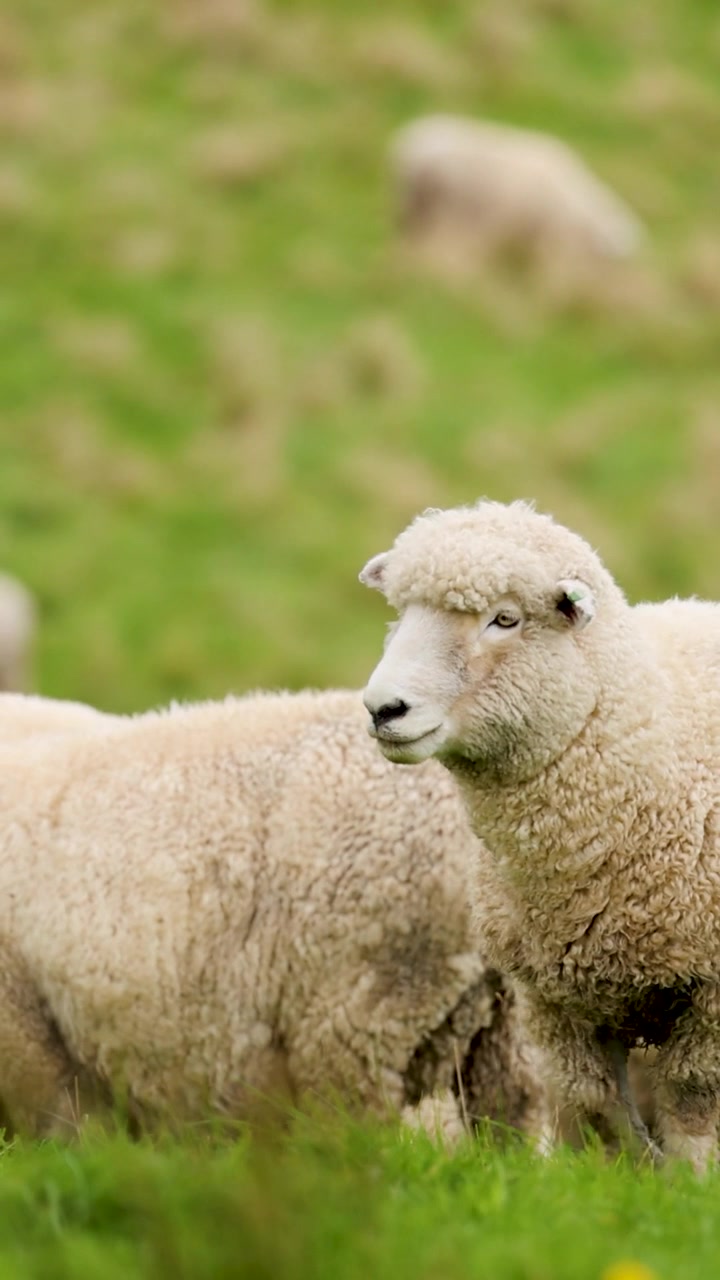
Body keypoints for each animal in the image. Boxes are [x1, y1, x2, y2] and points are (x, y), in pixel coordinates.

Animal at [361, 498, 720, 1171]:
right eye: (403, 614)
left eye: (504, 619)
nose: (382, 709)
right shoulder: (553, 997)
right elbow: (597, 1106)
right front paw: (622, 1177)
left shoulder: (711, 993)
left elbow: (692, 1103)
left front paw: (689, 1180)